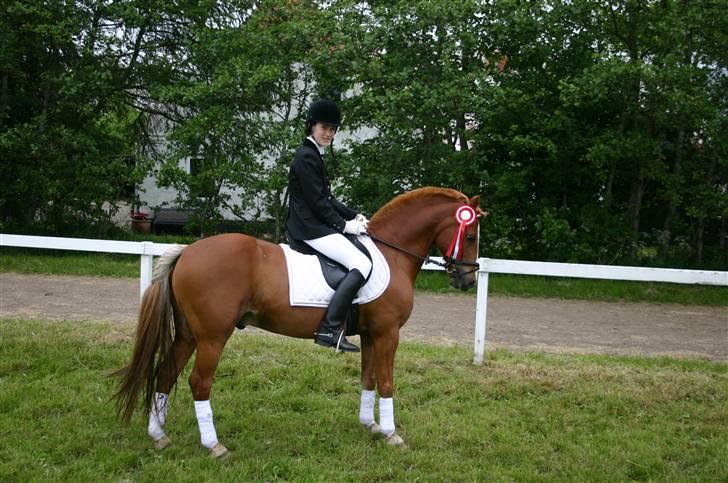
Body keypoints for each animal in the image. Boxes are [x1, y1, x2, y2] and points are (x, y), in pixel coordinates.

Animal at [114, 187, 485, 457]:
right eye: (469, 236)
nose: (467, 280)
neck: (391, 254)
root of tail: (188, 251)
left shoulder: (370, 334)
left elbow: (368, 378)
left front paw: (370, 426)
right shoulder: (387, 333)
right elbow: (387, 382)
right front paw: (392, 434)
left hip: (189, 334)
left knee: (166, 372)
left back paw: (159, 435)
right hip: (212, 337)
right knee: (198, 382)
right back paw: (214, 445)